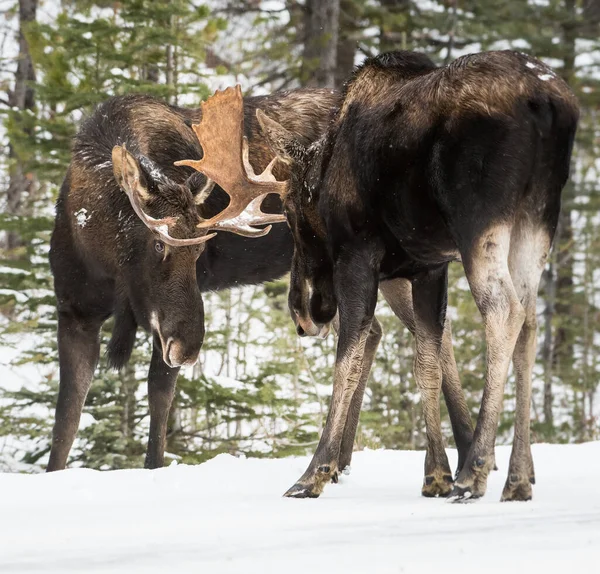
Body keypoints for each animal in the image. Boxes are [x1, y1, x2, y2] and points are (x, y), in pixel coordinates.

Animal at [192, 54, 576, 504]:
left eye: (287, 208)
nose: (304, 315)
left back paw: (475, 471)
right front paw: (435, 474)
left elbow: (348, 360)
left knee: (504, 312)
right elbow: (427, 364)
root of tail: (548, 102)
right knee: (531, 322)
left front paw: (314, 472)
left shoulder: (358, 255)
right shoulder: (429, 267)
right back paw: (517, 477)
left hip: (479, 223)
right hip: (537, 220)